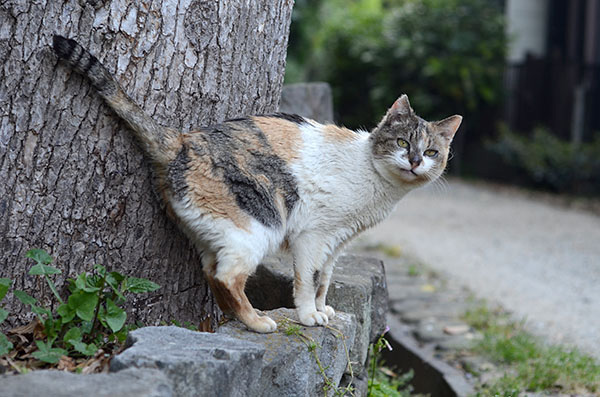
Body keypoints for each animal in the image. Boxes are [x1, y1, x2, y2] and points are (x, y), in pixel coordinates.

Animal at [52, 34, 464, 332]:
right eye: (402, 143)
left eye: (431, 151)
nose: (414, 162)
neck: (378, 185)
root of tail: (181, 139)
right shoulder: (312, 237)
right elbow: (306, 280)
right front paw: (309, 316)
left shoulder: (336, 244)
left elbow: (325, 280)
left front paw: (323, 308)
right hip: (257, 227)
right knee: (228, 277)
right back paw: (257, 322)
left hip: (216, 233)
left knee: (213, 274)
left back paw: (243, 318)